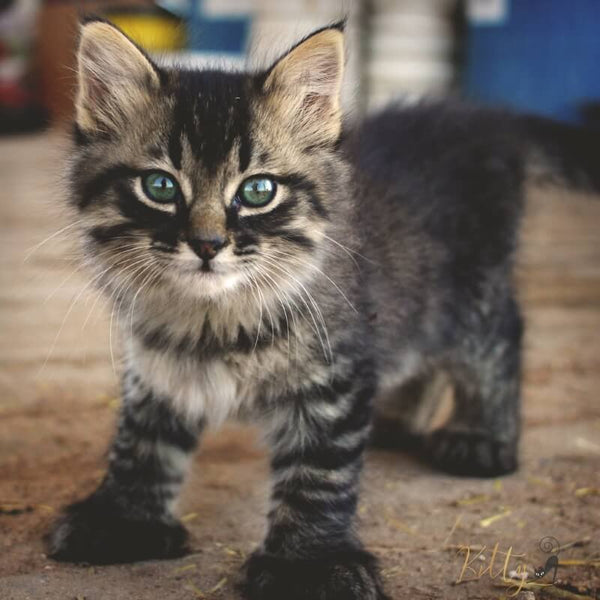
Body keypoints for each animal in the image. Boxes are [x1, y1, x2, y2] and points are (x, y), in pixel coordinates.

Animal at [48, 17, 600, 600]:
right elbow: (142, 444)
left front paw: (307, 564)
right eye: (159, 186)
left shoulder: (336, 371)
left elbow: (318, 473)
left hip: (471, 288)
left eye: (258, 191)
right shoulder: (157, 363)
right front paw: (123, 520)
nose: (207, 244)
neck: (214, 318)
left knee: (501, 337)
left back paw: (480, 437)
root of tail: (480, 119)